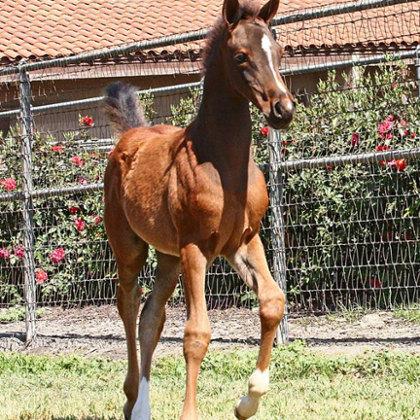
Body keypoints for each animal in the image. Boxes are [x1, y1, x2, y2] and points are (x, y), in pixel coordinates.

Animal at [104, 0, 296, 418]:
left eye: (279, 51)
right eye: (241, 56)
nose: (283, 109)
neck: (224, 164)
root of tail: (130, 136)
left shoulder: (243, 241)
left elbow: (273, 302)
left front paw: (248, 400)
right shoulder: (195, 247)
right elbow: (197, 333)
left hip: (168, 256)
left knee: (151, 318)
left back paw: (143, 407)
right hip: (130, 248)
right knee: (128, 304)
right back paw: (131, 398)